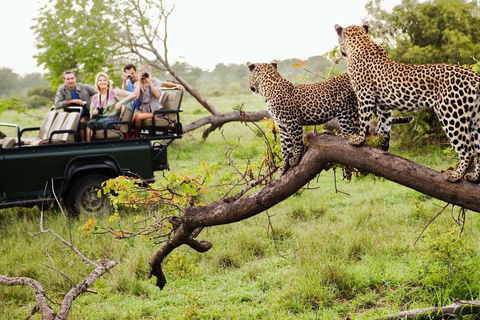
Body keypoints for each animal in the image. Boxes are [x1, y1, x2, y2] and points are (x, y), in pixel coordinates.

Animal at [248, 60, 412, 175]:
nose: (250, 87)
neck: (267, 88)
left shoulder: (292, 121)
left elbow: (297, 142)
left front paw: (296, 158)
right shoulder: (282, 125)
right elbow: (285, 147)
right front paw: (283, 168)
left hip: (345, 110)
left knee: (350, 134)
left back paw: (335, 135)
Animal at [336, 23, 480, 182]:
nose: (341, 51)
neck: (360, 42)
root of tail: (474, 76)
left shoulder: (364, 94)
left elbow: (364, 119)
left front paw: (359, 139)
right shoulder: (384, 104)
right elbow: (384, 124)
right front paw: (383, 144)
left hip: (451, 114)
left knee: (468, 150)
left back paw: (455, 175)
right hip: (475, 118)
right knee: (478, 149)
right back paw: (474, 177)